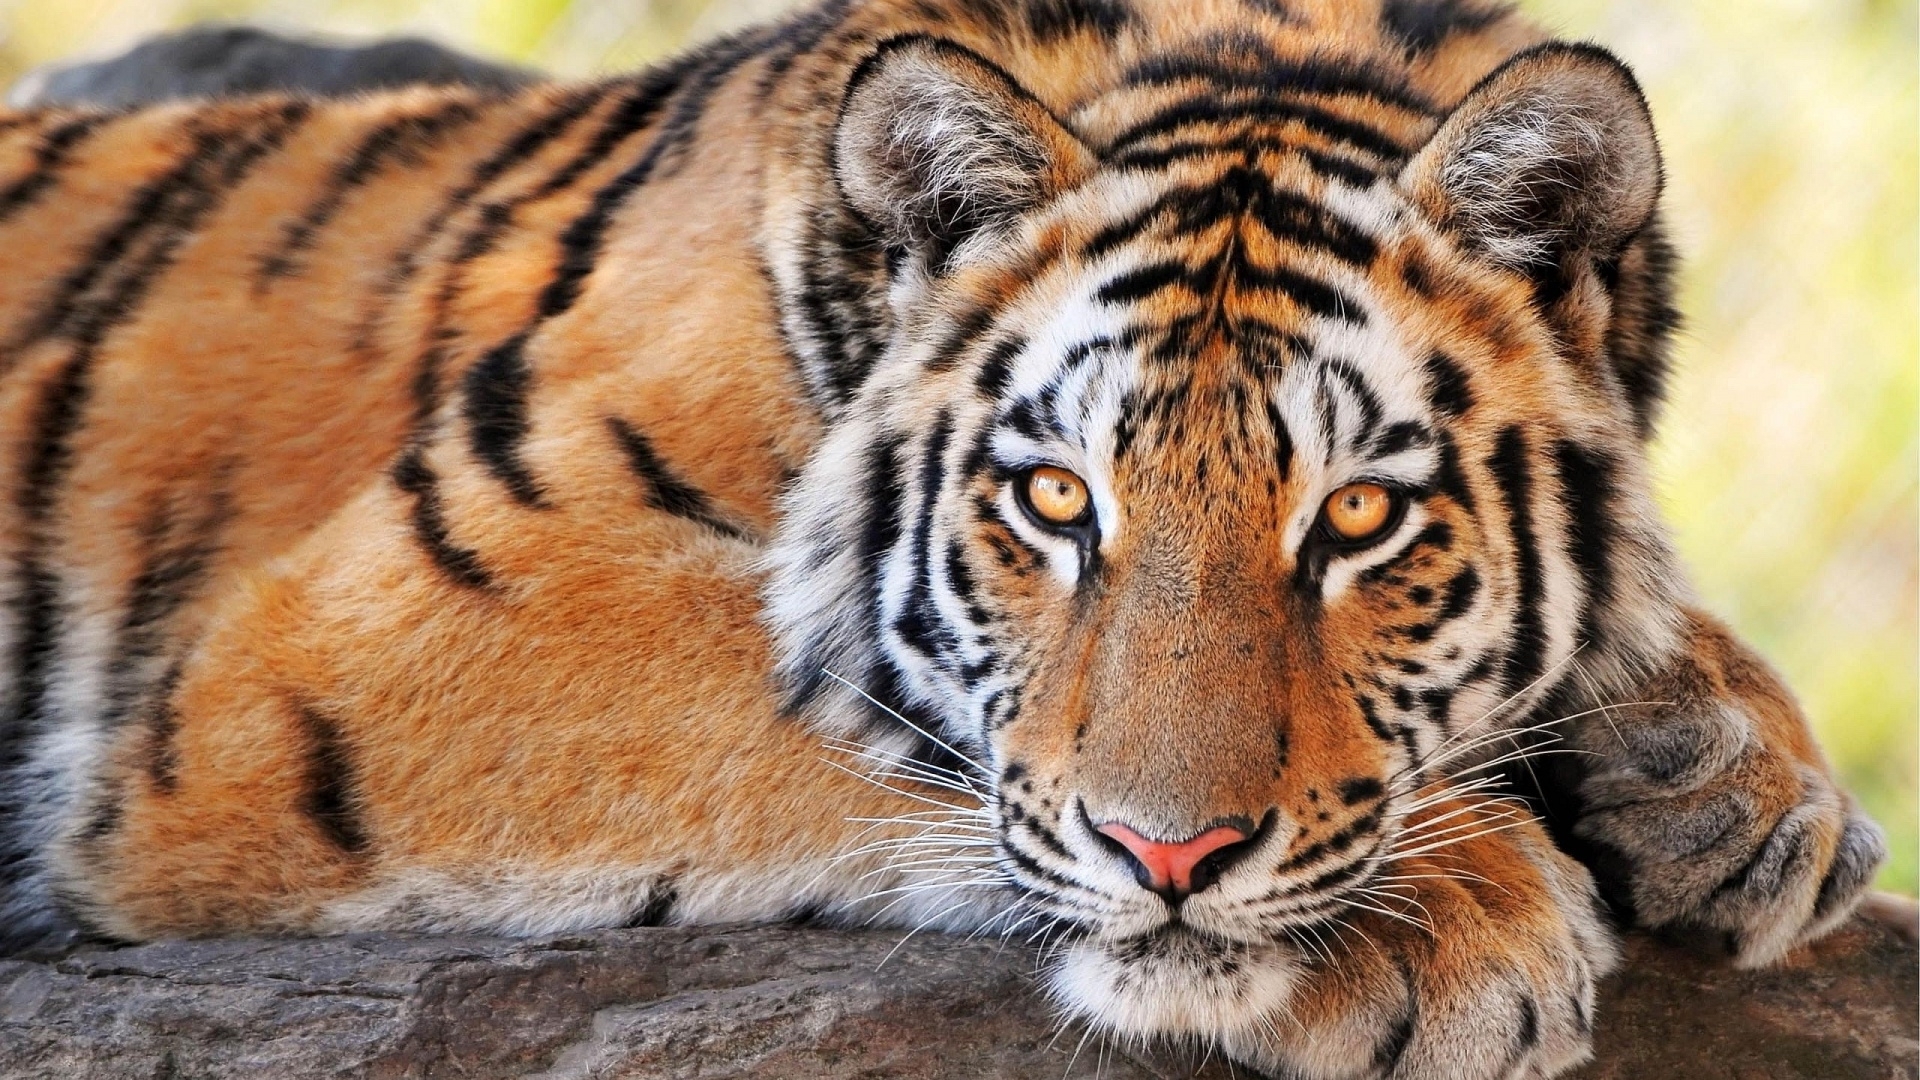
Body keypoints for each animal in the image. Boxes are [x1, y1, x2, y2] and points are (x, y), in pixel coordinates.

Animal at [0, 1, 1887, 1076]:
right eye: (1055, 500)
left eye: (1358, 515)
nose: (1174, 862)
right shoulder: (377, 637)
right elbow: (888, 730)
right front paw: (1457, 921)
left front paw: (1735, 779)